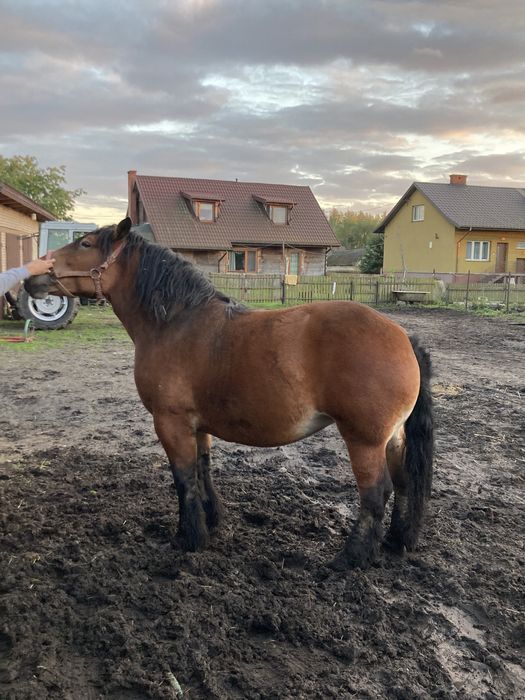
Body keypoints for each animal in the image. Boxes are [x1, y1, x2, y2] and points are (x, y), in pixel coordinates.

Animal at [24, 219, 432, 568]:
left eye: (85, 243)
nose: (32, 278)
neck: (176, 321)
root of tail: (403, 337)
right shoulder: (198, 424)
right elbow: (203, 468)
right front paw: (213, 519)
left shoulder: (170, 422)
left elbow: (183, 477)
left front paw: (189, 537)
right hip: (392, 438)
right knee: (402, 483)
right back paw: (394, 542)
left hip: (364, 440)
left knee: (376, 493)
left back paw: (349, 559)